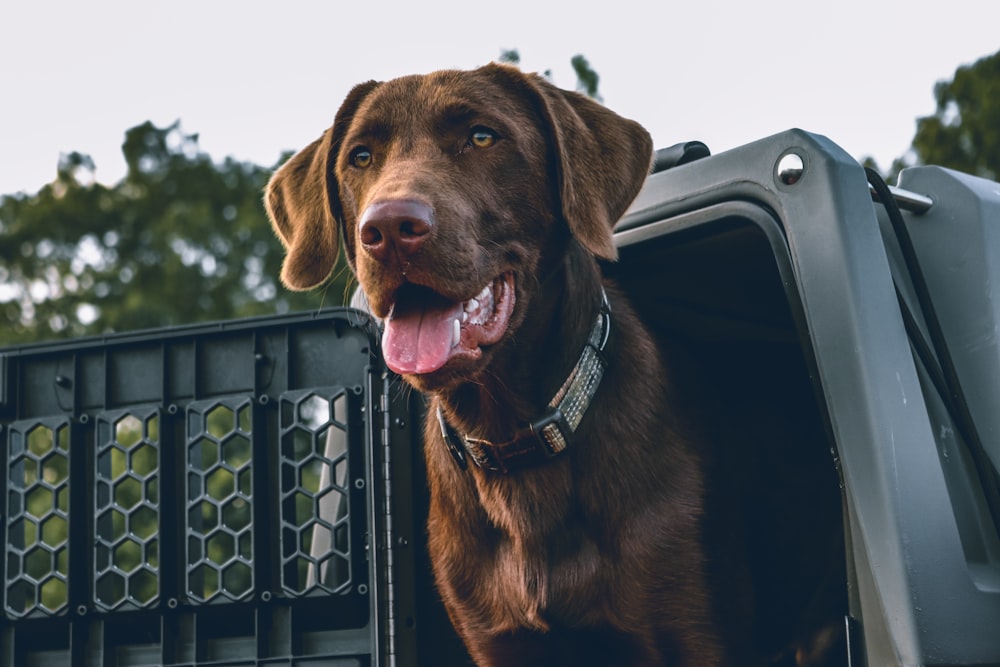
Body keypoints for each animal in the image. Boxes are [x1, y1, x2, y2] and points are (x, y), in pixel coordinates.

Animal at [264, 64, 736, 667]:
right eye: (361, 156)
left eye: (483, 137)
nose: (388, 230)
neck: (513, 436)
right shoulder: (496, 640)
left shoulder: (694, 634)